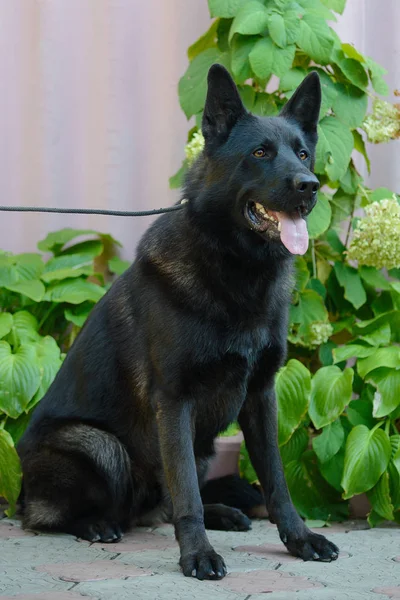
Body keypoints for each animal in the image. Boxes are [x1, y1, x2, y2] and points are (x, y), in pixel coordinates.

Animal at [18, 67, 338, 580]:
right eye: (260, 153)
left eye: (303, 153)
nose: (309, 185)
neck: (234, 271)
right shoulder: (175, 401)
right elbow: (186, 491)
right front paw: (198, 555)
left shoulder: (261, 395)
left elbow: (276, 482)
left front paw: (300, 539)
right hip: (99, 445)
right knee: (53, 516)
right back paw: (97, 524)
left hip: (201, 445)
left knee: (164, 502)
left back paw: (223, 512)